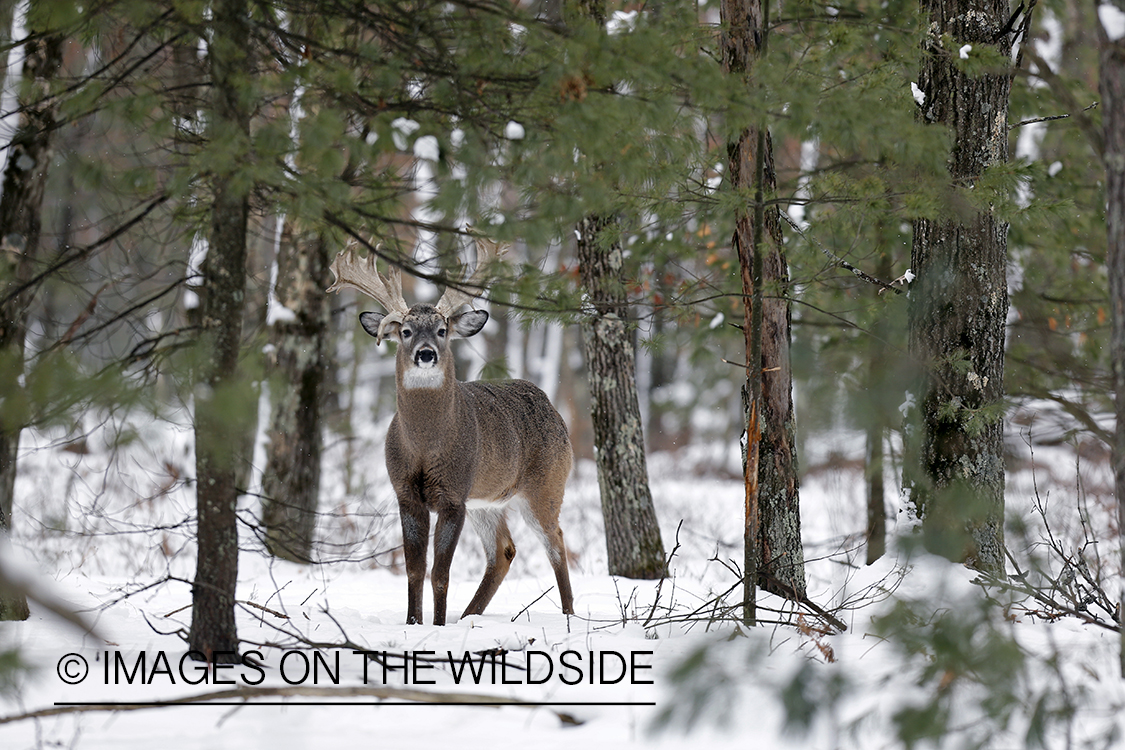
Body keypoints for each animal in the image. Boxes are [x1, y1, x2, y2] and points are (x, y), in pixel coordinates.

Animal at [324, 240, 571, 629]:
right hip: (486, 501)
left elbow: (440, 572)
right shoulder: (406, 493)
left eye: (442, 330)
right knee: (504, 550)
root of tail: (553, 407)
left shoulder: (454, 494)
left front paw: (437, 626)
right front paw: (414, 623)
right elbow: (414, 569)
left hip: (545, 485)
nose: (426, 354)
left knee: (556, 542)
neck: (425, 447)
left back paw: (568, 614)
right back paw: (469, 616)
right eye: (405, 331)